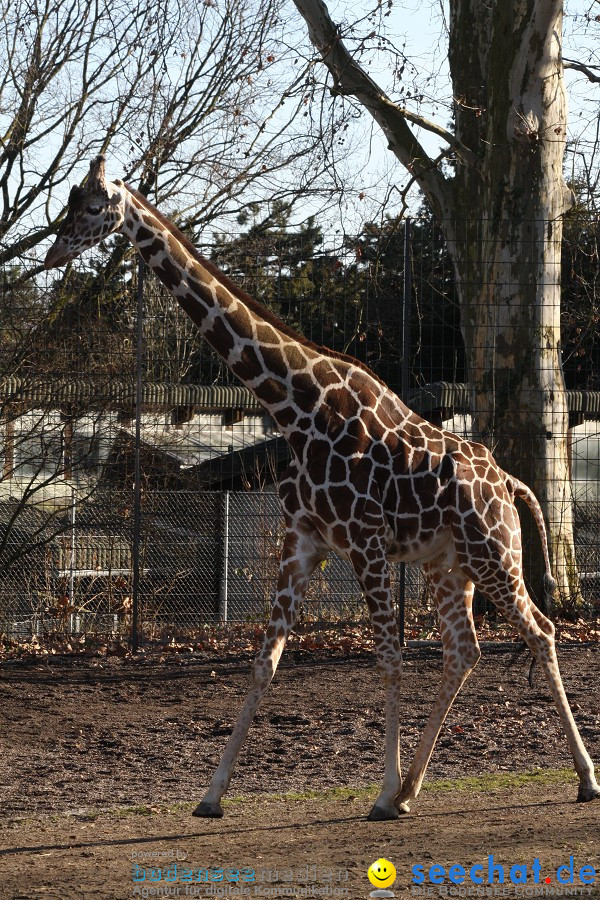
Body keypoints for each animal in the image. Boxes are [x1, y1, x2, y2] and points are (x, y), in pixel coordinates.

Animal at [44, 156, 596, 824]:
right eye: (71, 199)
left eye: (94, 206)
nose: (54, 250)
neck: (297, 408)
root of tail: (509, 479)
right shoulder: (304, 540)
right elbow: (265, 661)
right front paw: (211, 794)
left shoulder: (365, 544)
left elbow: (388, 658)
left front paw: (380, 791)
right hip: (448, 566)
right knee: (464, 651)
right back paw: (413, 790)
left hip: (495, 555)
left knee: (539, 632)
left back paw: (581, 779)